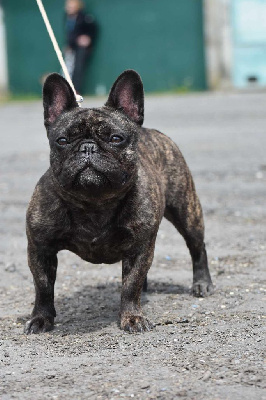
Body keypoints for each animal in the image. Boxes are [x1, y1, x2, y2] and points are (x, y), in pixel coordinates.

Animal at [23, 69, 213, 334]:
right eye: (62, 140)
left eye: (115, 138)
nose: (88, 147)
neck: (94, 202)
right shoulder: (40, 248)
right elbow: (42, 286)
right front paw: (41, 318)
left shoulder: (140, 247)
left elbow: (130, 284)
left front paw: (132, 317)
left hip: (186, 213)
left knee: (197, 248)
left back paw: (202, 284)